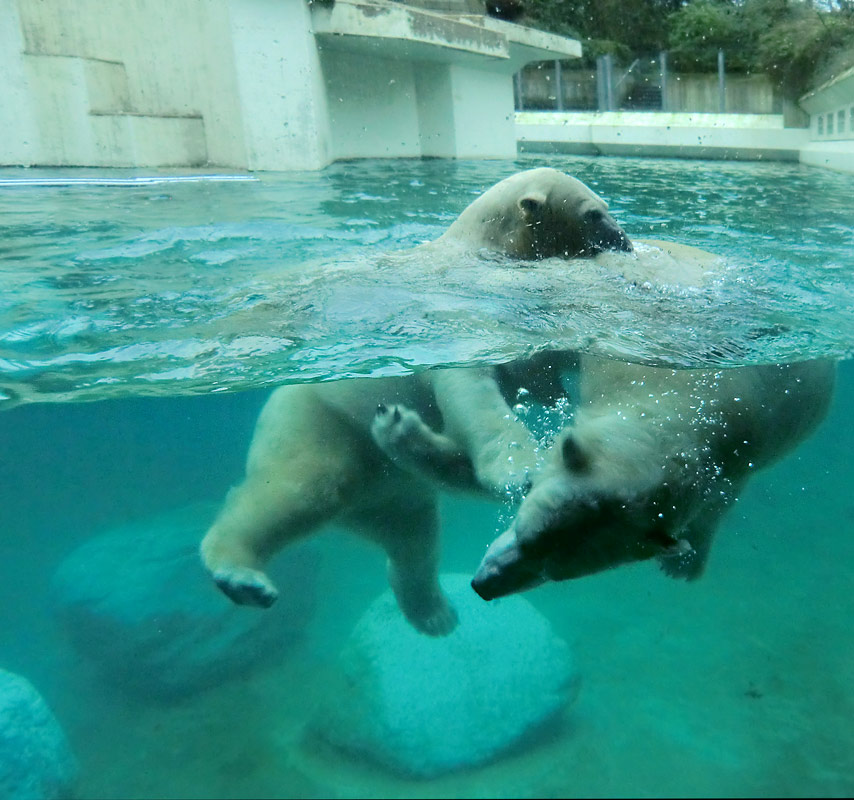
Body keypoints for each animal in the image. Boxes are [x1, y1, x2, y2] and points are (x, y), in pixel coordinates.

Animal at [468, 356, 836, 600]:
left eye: (552, 572)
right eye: (522, 533)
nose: (483, 586)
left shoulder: (738, 459)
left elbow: (714, 510)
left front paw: (684, 563)